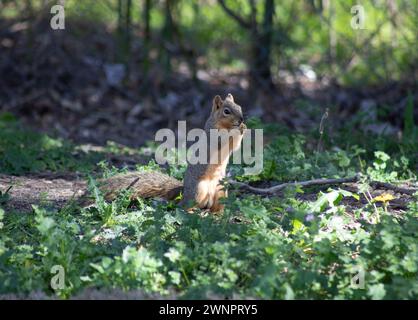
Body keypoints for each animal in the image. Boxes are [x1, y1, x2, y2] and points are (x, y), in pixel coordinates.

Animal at [95, 93, 245, 212]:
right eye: (226, 111)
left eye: (240, 107)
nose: (241, 119)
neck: (224, 125)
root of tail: (183, 192)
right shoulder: (212, 135)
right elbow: (222, 141)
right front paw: (239, 129)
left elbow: (235, 146)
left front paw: (243, 127)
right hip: (198, 191)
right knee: (185, 207)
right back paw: (192, 212)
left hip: (221, 191)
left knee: (215, 207)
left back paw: (218, 214)